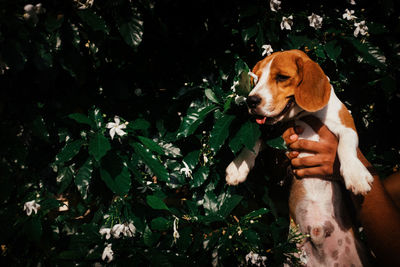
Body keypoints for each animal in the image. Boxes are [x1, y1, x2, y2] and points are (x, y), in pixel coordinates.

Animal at [227, 49, 374, 266]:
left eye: (282, 77)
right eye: (257, 79)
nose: (251, 101)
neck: (301, 116)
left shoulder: (345, 123)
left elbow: (345, 146)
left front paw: (355, 175)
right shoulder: (274, 134)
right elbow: (253, 143)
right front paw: (237, 167)